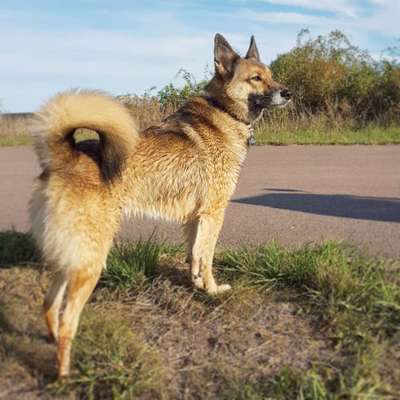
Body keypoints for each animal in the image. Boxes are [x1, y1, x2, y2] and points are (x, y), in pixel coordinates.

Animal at [28, 32, 290, 376]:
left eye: (271, 74)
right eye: (256, 78)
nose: (288, 92)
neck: (223, 112)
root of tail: (62, 157)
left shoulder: (195, 219)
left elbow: (193, 256)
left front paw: (195, 285)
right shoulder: (213, 214)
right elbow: (207, 258)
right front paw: (211, 290)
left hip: (71, 257)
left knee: (48, 306)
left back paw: (51, 341)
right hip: (90, 261)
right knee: (67, 318)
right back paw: (65, 373)